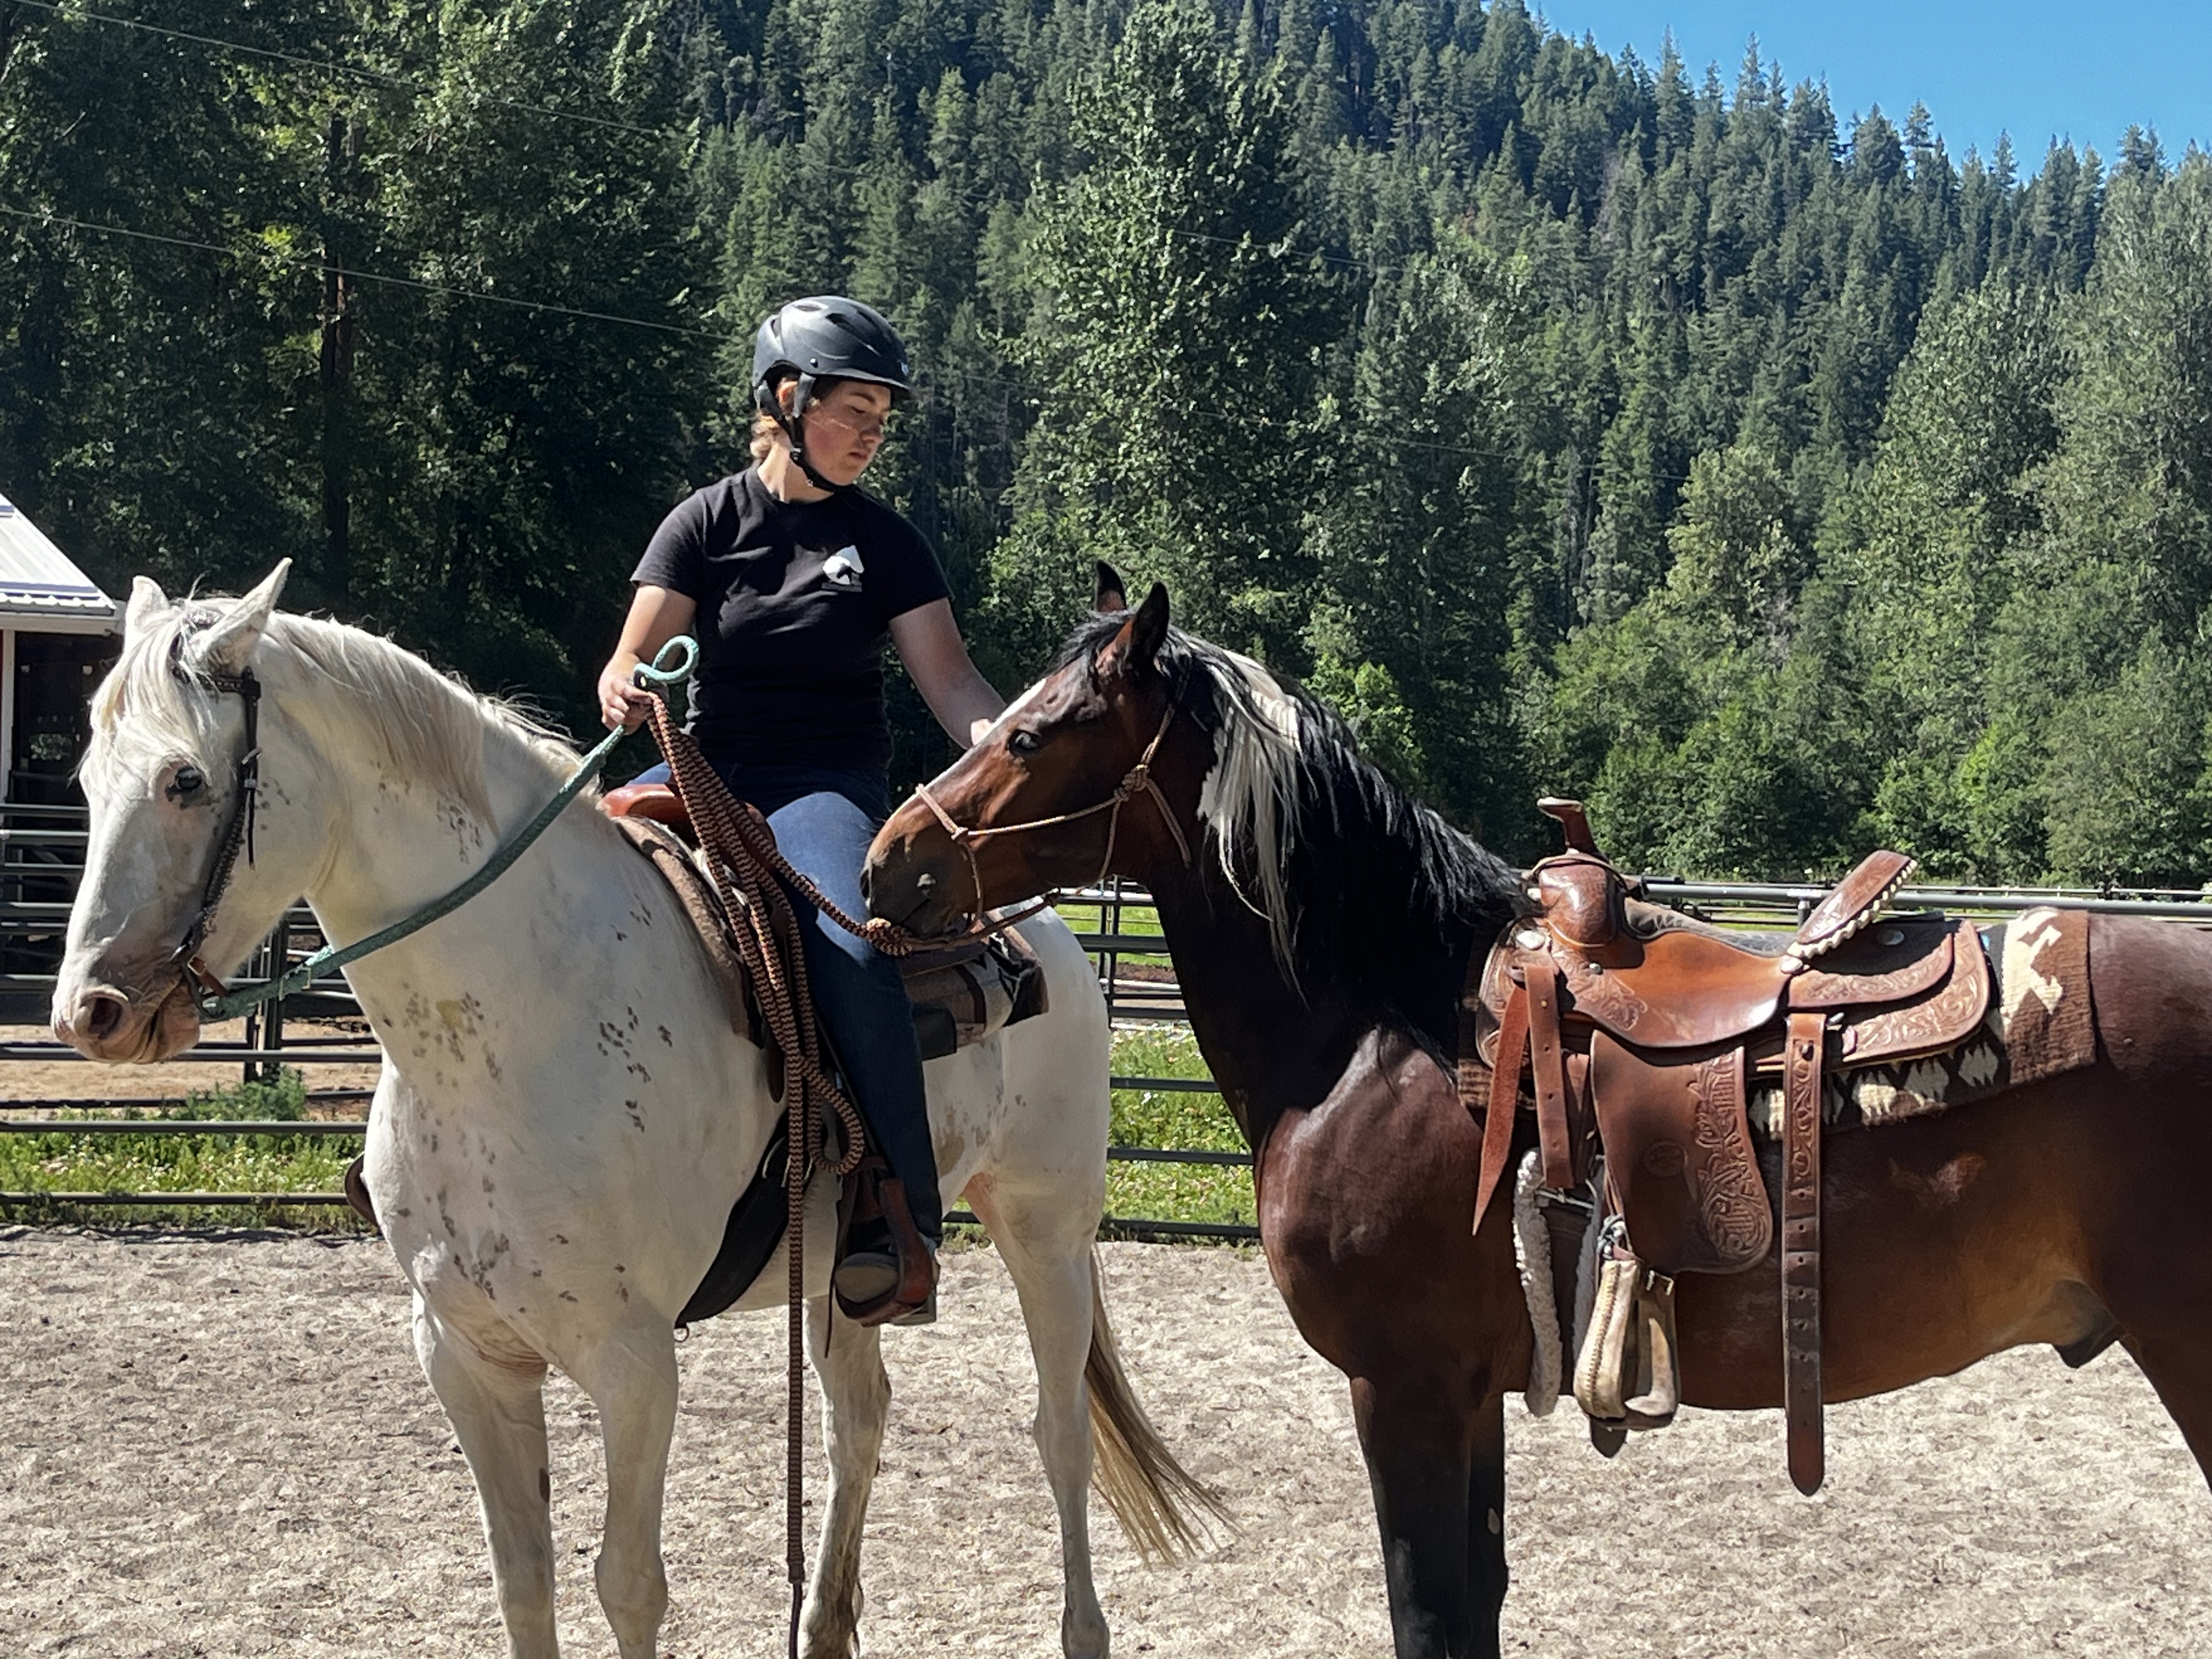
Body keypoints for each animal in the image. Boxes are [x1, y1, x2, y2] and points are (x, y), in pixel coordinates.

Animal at [50, 562, 1218, 1659]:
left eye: (186, 778)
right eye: (88, 778)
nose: (91, 1010)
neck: (511, 1026)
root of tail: (1034, 923)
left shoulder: (633, 1359)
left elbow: (627, 1583)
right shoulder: (463, 1351)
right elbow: (523, 1579)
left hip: (1045, 1230)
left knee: (1060, 1432)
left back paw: (1081, 1626)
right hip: (850, 1270)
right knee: (858, 1420)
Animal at [862, 565, 2212, 1659]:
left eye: (1033, 734)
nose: (889, 861)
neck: (1382, 1031)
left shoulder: (1401, 1389)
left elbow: (1429, 1612)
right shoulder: (1471, 1395)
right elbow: (1478, 1605)